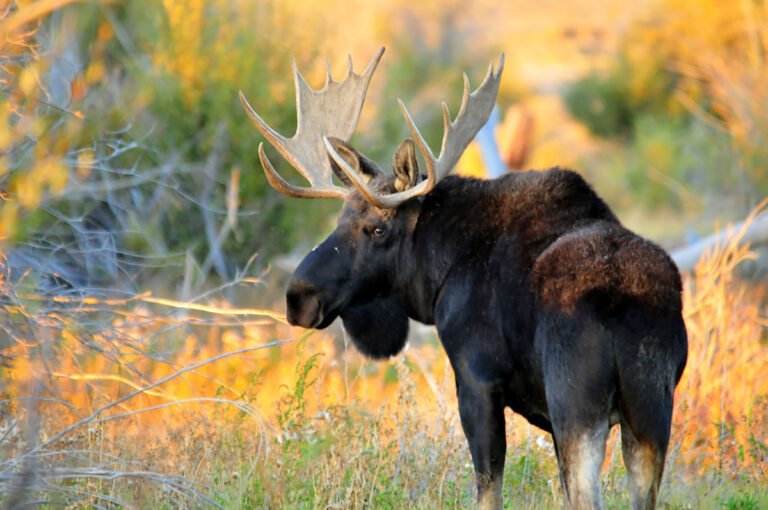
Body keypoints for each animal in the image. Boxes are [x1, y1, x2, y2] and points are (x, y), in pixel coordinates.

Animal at [239, 47, 688, 510]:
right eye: (340, 218)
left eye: (377, 229)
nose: (298, 296)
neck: (438, 272)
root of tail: (623, 303)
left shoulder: (476, 381)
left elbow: (488, 489)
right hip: (651, 411)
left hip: (577, 407)